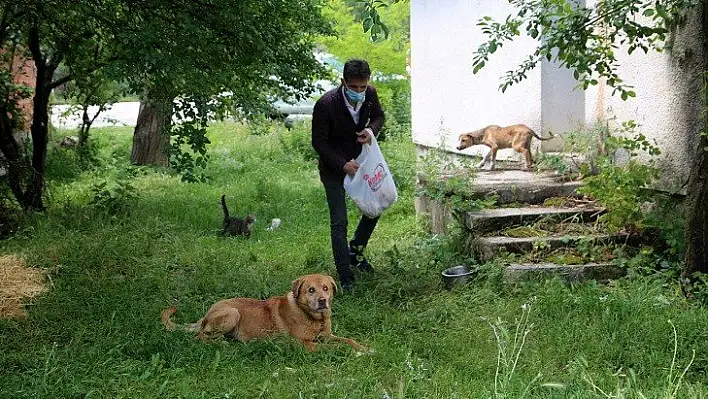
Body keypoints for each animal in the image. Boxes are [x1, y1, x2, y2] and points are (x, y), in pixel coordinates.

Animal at [161, 276, 368, 354]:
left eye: (326, 288)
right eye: (311, 290)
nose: (323, 301)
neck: (313, 318)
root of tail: (205, 315)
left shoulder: (327, 336)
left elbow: (349, 340)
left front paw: (364, 348)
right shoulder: (306, 344)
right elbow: (335, 347)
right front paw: (350, 352)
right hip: (232, 313)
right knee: (200, 337)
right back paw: (221, 343)